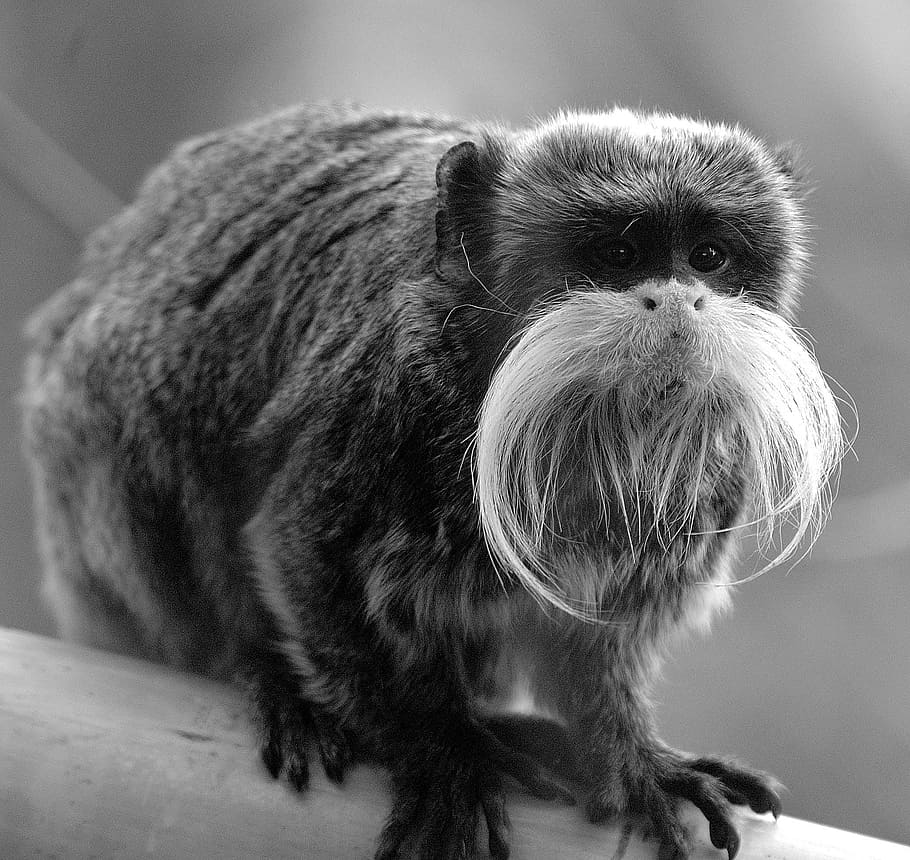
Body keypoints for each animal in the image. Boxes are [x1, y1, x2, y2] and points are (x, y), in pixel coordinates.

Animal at [21, 104, 845, 859]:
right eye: (618, 254)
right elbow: (301, 548)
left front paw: (629, 755)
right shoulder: (381, 382)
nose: (680, 299)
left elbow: (599, 634)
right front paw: (433, 744)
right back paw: (267, 672)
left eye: (709, 257)